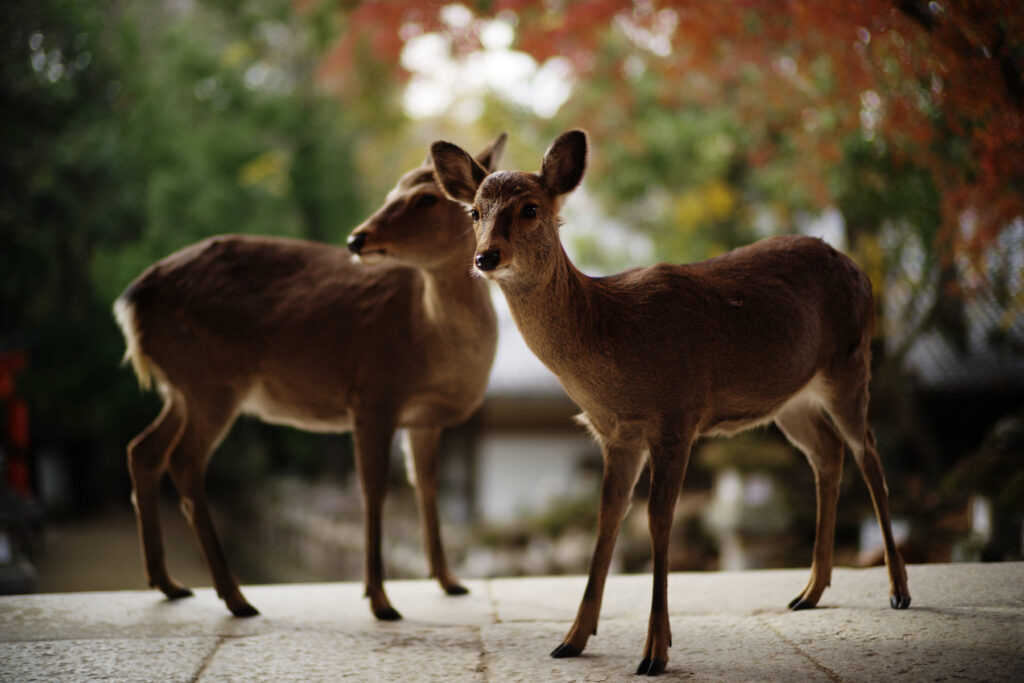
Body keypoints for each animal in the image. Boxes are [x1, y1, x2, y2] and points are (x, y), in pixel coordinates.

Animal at [113, 132, 507, 618]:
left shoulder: (424, 418)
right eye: (391, 192)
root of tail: (131, 302)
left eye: (426, 197)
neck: (427, 332)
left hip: (181, 389)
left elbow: (426, 485)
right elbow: (372, 489)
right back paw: (236, 598)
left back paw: (170, 583)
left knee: (143, 450)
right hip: (212, 380)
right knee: (184, 461)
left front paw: (450, 582)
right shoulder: (373, 394)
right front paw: (379, 600)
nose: (357, 238)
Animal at [432, 131, 913, 675]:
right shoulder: (615, 434)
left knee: (868, 451)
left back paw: (898, 590)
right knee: (828, 454)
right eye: (474, 212)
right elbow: (607, 517)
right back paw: (809, 592)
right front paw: (572, 638)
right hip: (790, 400)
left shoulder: (677, 415)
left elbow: (659, 520)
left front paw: (654, 652)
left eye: (530, 208)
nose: (485, 258)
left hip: (850, 361)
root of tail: (861, 271)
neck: (611, 334)